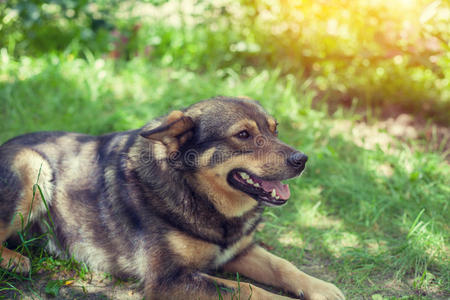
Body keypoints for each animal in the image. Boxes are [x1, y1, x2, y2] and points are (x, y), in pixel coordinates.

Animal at [0, 97, 344, 298]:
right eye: (243, 135)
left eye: (274, 130)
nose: (302, 160)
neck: (196, 193)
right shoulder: (169, 279)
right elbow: (248, 289)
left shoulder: (239, 251)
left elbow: (283, 266)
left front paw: (322, 288)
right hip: (33, 165)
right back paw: (15, 260)